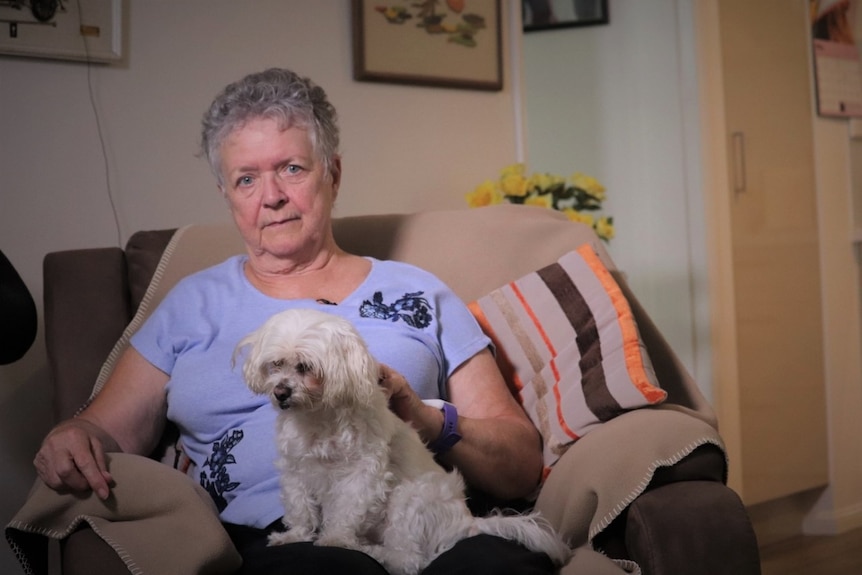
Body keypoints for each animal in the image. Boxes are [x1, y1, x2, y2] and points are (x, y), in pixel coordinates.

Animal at [238, 310, 572, 575]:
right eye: (276, 364)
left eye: (305, 367)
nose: (281, 392)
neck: (318, 418)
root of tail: (467, 524)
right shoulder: (296, 470)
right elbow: (300, 508)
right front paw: (294, 536)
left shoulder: (363, 473)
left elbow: (345, 511)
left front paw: (335, 540)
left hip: (408, 499)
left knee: (408, 561)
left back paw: (370, 550)